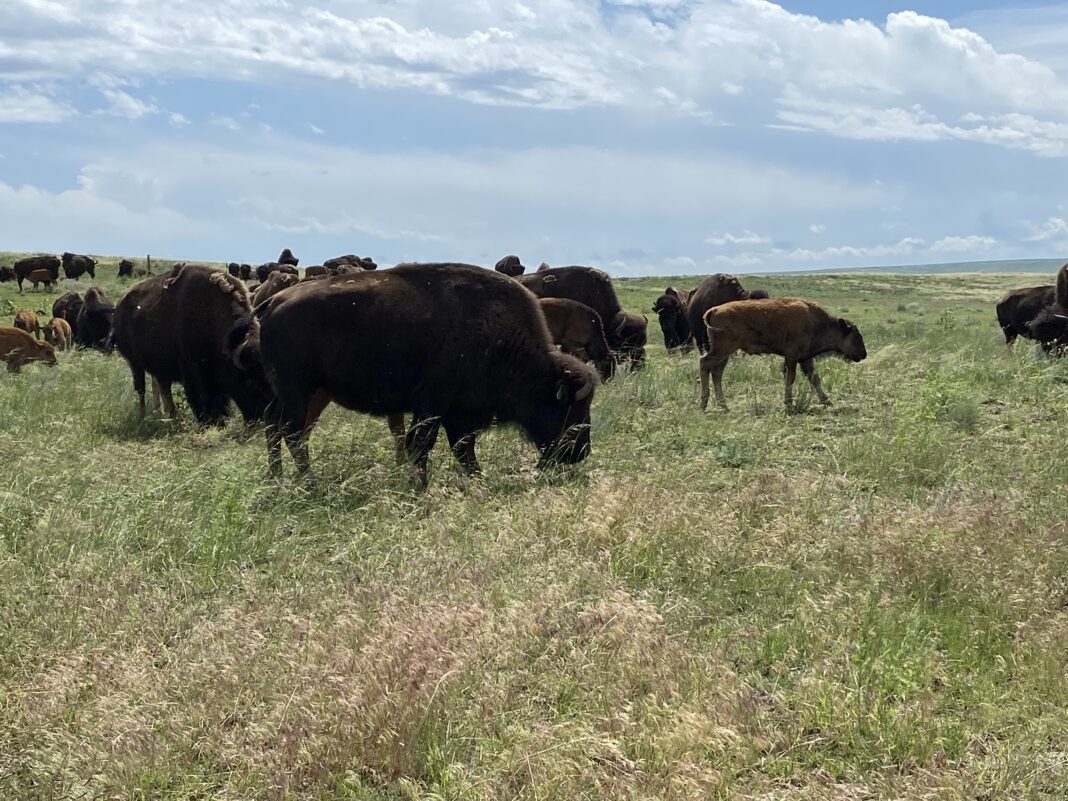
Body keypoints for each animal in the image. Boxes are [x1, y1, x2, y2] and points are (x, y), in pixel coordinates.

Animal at [112, 264, 271, 423]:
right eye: (250, 382)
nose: (262, 416)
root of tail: (119, 305)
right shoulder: (193, 372)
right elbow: (201, 400)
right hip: (134, 363)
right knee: (141, 389)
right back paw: (143, 416)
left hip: (159, 368)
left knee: (164, 390)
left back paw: (170, 417)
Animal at [230, 263, 598, 484]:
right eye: (569, 407)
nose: (581, 452)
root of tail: (274, 301)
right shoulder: (434, 405)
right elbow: (425, 444)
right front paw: (420, 485)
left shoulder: (457, 412)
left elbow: (461, 447)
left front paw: (474, 479)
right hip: (297, 388)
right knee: (291, 431)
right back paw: (310, 483)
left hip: (302, 392)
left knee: (275, 427)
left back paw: (279, 479)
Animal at [699, 298, 867, 411]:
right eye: (856, 337)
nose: (864, 355)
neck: (817, 323)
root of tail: (713, 310)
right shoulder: (792, 356)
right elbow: (790, 378)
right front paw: (789, 403)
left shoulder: (805, 359)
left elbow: (814, 378)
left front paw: (826, 401)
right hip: (723, 349)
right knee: (704, 363)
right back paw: (703, 405)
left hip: (724, 354)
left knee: (717, 373)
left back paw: (724, 406)